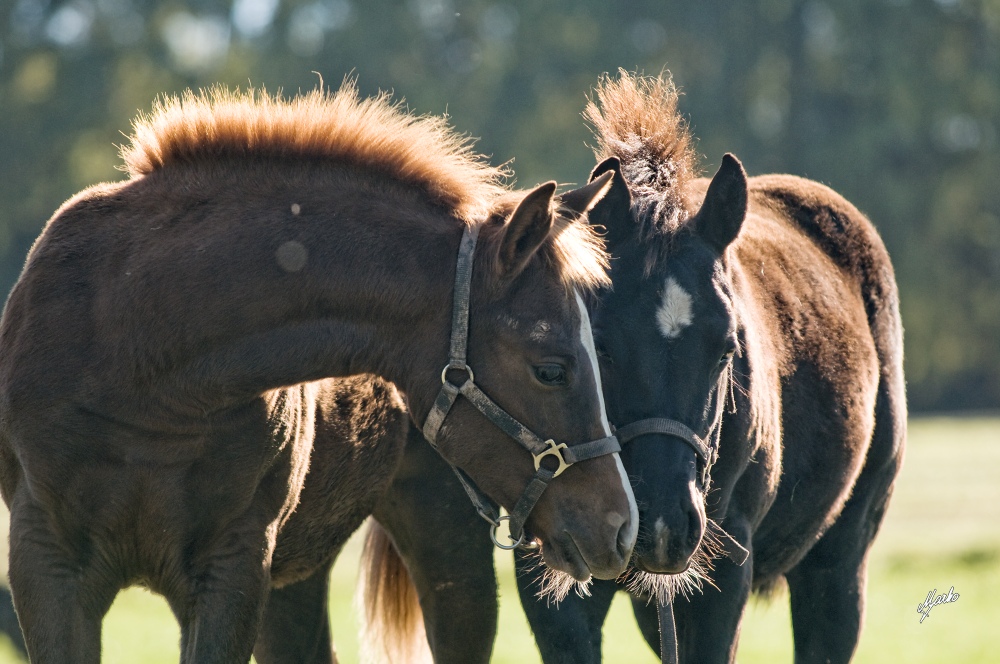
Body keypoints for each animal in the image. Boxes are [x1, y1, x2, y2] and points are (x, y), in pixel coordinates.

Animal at [356, 72, 904, 664]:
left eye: (727, 350)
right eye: (600, 344)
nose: (661, 524)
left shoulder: (719, 581)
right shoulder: (555, 572)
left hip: (838, 562)